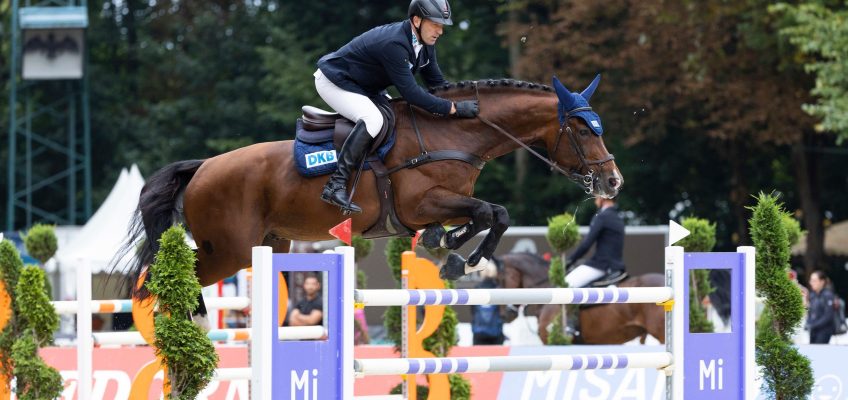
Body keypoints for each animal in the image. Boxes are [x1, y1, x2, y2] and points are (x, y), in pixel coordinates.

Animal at [119, 75, 620, 300]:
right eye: (583, 130)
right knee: (155, 283)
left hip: (270, 242)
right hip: (228, 250)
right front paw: (459, 255)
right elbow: (489, 212)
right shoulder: (422, 203)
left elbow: (493, 214)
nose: (613, 181)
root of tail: (203, 167)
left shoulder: (446, 204)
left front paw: (451, 251)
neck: (454, 134)